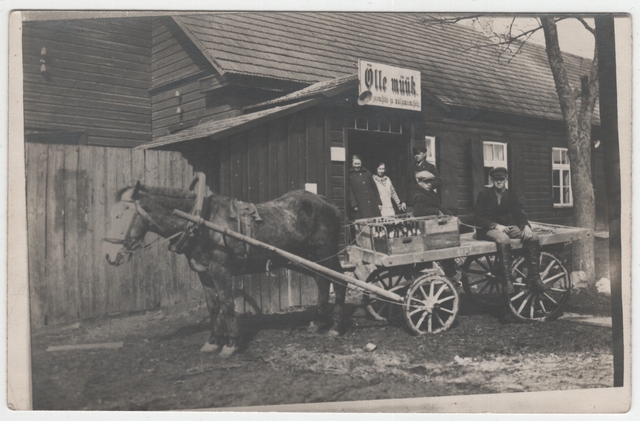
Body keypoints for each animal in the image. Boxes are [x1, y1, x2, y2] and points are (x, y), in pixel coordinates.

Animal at [103, 179, 348, 356]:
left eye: (120, 215)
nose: (108, 255)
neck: (200, 220)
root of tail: (329, 203)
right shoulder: (204, 273)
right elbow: (213, 307)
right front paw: (213, 342)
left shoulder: (222, 272)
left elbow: (228, 305)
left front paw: (231, 344)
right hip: (309, 259)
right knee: (322, 282)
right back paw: (318, 323)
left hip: (325, 255)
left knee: (340, 281)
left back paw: (336, 327)